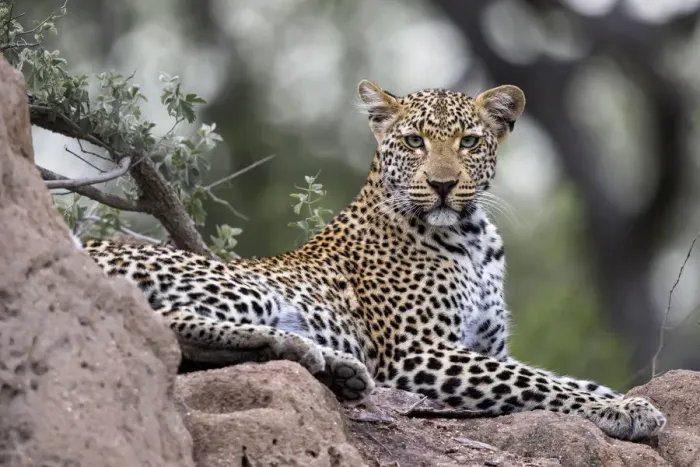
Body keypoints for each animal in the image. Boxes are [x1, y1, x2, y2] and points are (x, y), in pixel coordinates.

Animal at [84, 80, 666, 441]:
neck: (473, 239)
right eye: (413, 140)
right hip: (239, 284)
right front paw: (623, 410)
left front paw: (630, 402)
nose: (443, 184)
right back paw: (309, 351)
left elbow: (566, 378)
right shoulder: (419, 351)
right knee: (161, 323)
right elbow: (539, 382)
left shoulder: (487, 347)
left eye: (469, 141)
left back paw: (336, 368)